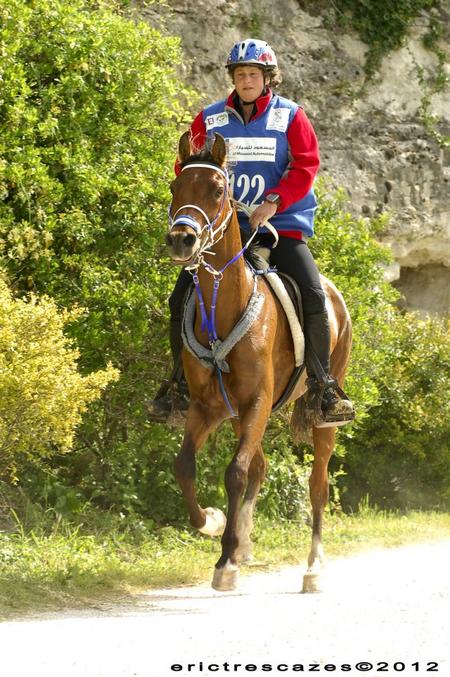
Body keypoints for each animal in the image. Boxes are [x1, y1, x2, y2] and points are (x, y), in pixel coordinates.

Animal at [163, 132, 354, 592]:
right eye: (175, 187)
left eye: (217, 191)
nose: (181, 240)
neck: (224, 305)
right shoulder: (208, 407)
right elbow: (185, 467)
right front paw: (214, 524)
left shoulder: (256, 403)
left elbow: (234, 472)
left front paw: (224, 560)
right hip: (243, 414)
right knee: (261, 468)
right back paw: (245, 544)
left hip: (319, 415)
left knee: (317, 485)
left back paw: (313, 568)